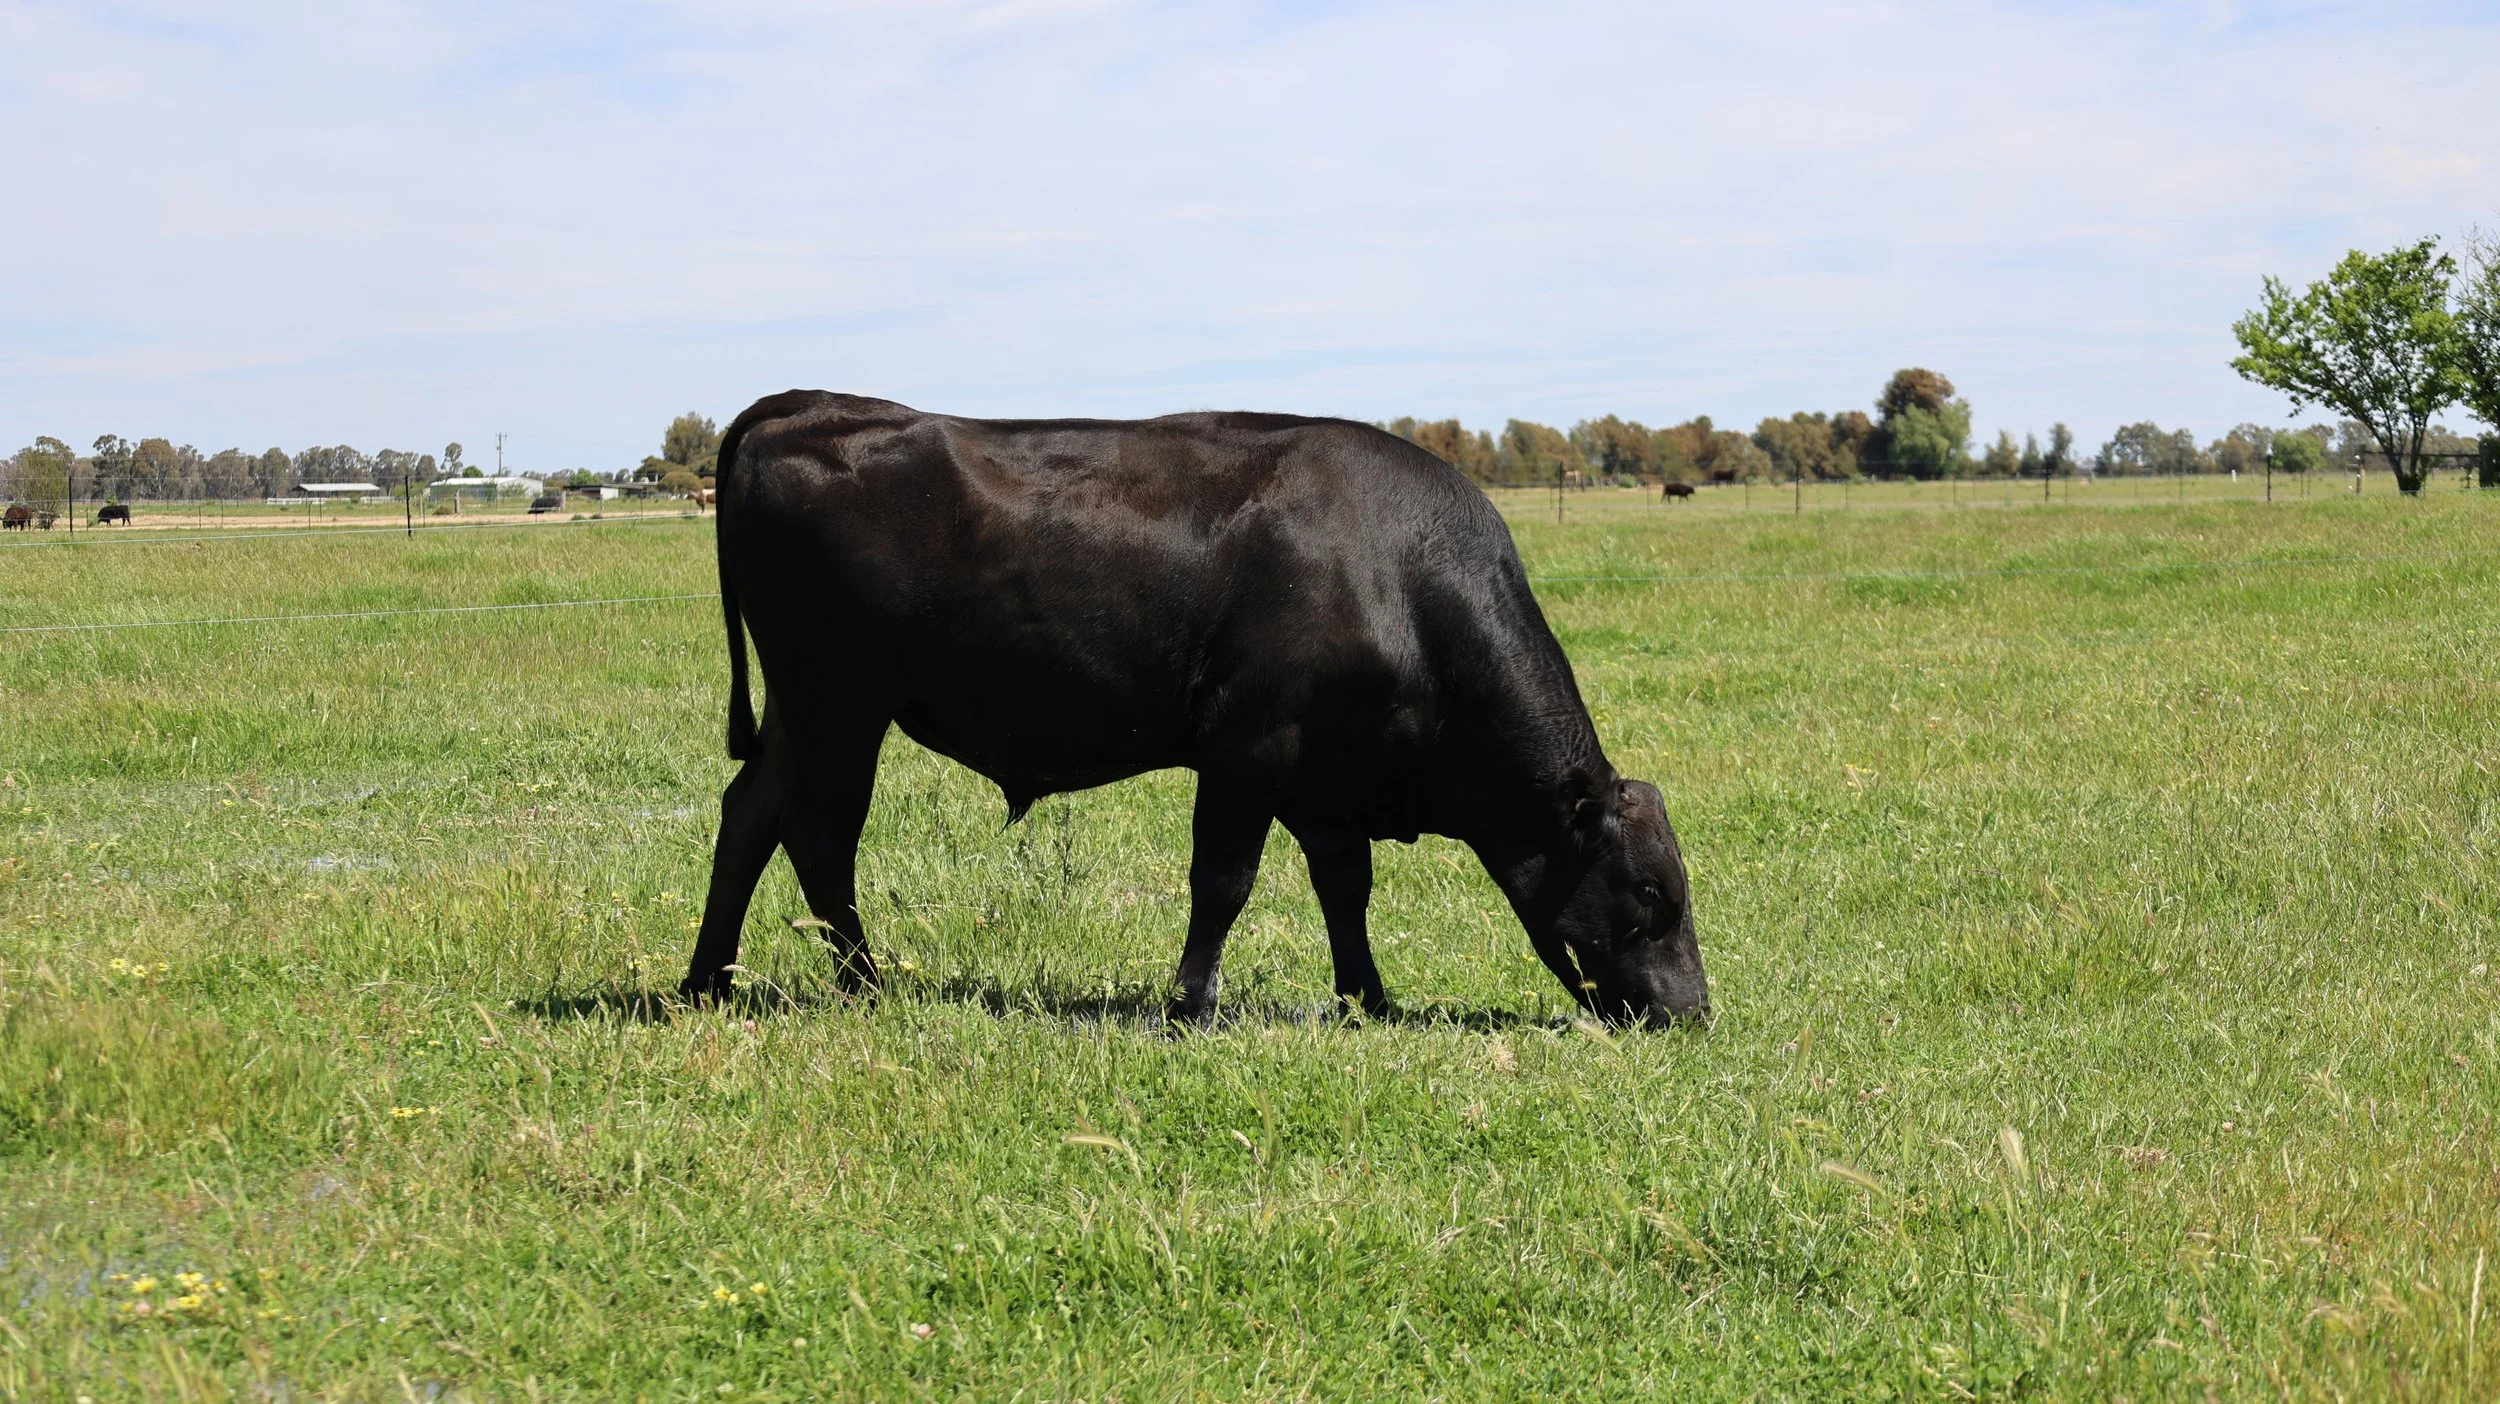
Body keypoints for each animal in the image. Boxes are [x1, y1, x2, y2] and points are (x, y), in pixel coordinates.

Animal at [682, 392, 1708, 1028]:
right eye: (1651, 893)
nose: (1694, 1011)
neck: (1399, 580)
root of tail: (807, 405)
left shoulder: (1325, 780)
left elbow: (1347, 889)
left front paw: (1367, 1000)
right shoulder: (1249, 747)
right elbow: (1223, 882)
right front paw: (1189, 1005)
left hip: (803, 711)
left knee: (751, 815)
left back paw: (706, 983)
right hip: (839, 704)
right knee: (820, 837)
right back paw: (864, 985)